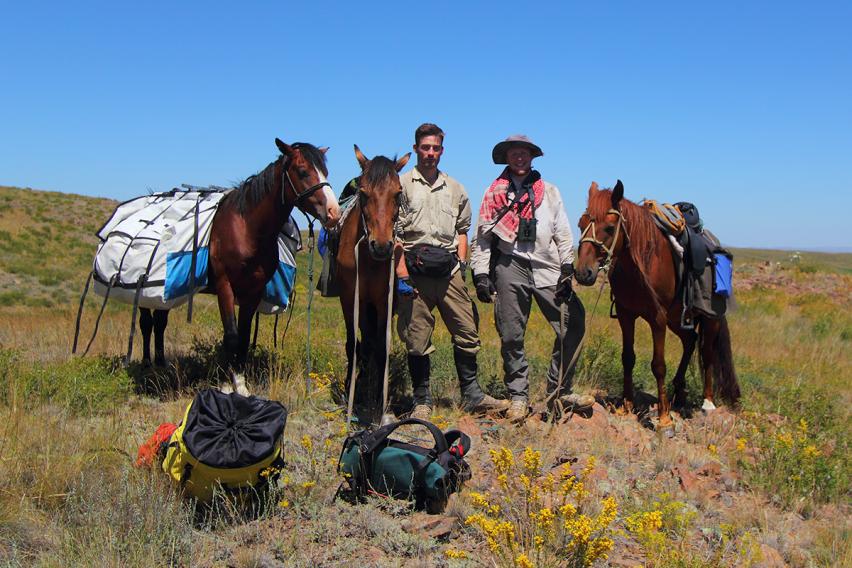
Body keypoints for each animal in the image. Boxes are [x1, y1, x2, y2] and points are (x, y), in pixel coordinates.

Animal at [140, 140, 340, 392]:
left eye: (326, 172)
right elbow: (231, 335)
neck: (247, 229)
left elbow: (244, 337)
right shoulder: (225, 286)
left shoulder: (253, 291)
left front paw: (241, 384)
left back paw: (161, 364)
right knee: (146, 323)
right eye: (303, 171)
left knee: (160, 321)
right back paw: (147, 365)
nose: (334, 212)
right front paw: (227, 384)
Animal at [336, 145, 410, 422]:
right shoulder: (349, 298)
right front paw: (350, 390)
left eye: (398, 193)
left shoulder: (382, 301)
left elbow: (380, 348)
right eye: (363, 192)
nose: (381, 246)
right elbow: (353, 345)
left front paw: (380, 401)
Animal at [572, 182, 740, 434]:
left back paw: (707, 402)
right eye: (581, 225)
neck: (640, 263)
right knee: (690, 341)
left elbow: (658, 365)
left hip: (709, 318)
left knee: (707, 352)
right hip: (676, 318)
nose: (583, 273)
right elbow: (627, 358)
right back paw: (678, 393)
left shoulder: (657, 318)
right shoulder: (626, 315)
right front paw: (627, 405)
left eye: (610, 228)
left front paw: (664, 419)